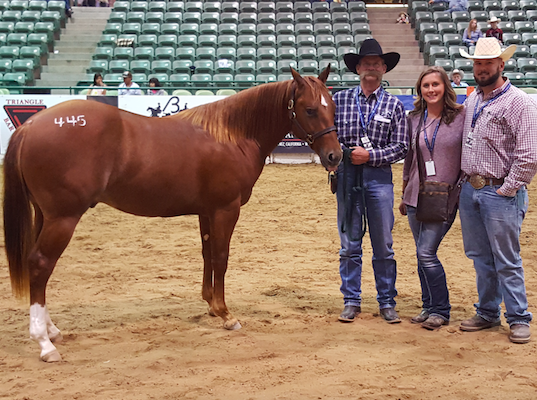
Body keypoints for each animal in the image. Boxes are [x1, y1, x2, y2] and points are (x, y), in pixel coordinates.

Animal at [2, 68, 342, 362]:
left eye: (334, 106)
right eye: (310, 109)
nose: (334, 156)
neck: (231, 135)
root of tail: (30, 126)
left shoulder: (207, 211)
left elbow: (208, 255)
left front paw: (211, 305)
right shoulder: (225, 209)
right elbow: (221, 257)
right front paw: (226, 314)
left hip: (46, 216)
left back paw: (52, 331)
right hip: (63, 218)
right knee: (40, 264)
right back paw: (44, 343)